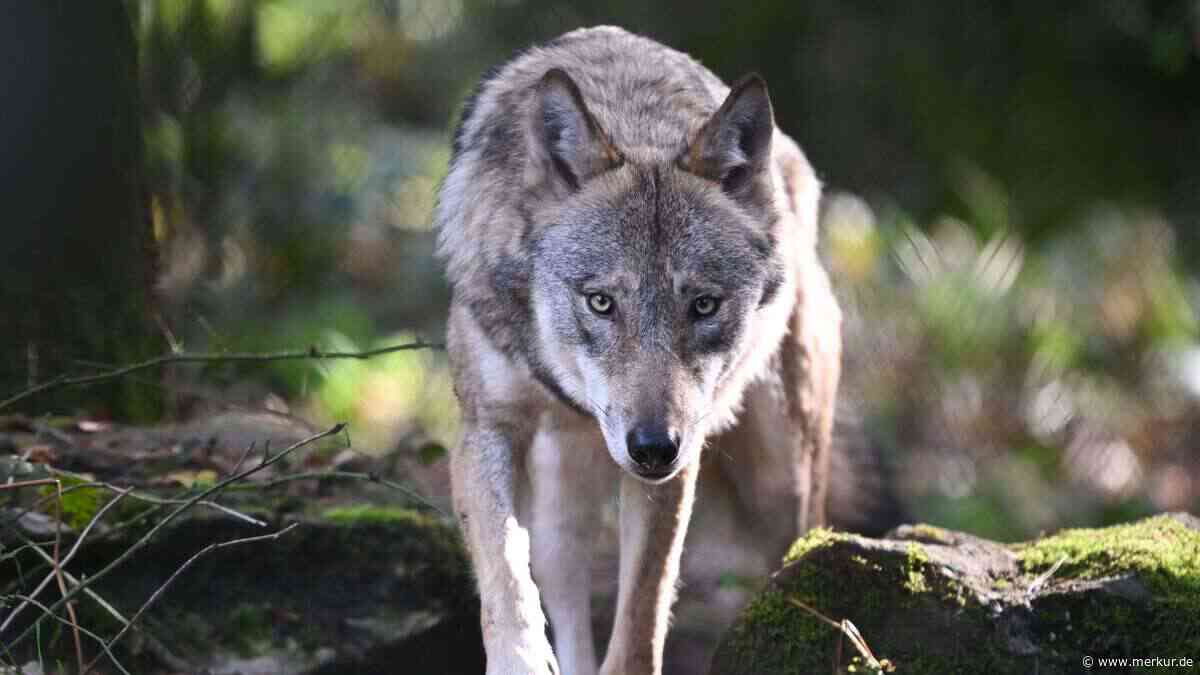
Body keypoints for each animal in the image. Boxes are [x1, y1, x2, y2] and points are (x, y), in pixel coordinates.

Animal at [435, 26, 842, 675]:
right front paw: (521, 655)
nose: (652, 446)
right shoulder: (486, 428)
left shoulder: (677, 466)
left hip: (785, 479)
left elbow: (639, 622)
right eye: (601, 302)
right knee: (561, 578)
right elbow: (504, 574)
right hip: (563, 490)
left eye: (703, 305)